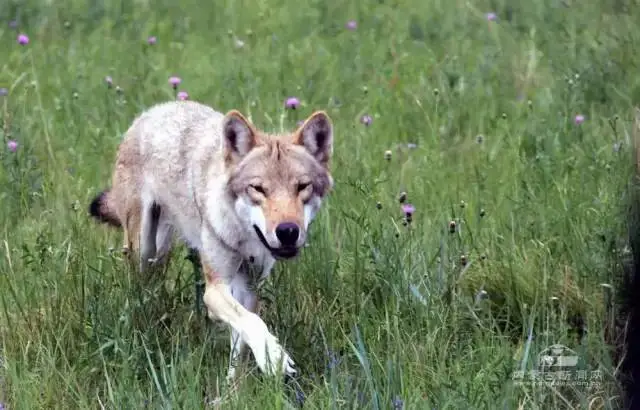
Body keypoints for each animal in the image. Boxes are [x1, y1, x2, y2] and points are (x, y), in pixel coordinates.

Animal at [89, 100, 336, 382]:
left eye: (302, 187)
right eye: (258, 189)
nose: (287, 231)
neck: (244, 237)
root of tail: (154, 110)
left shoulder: (248, 286)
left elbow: (242, 337)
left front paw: (234, 385)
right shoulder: (215, 288)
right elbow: (253, 322)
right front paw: (274, 359)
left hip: (159, 253)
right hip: (144, 250)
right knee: (138, 289)